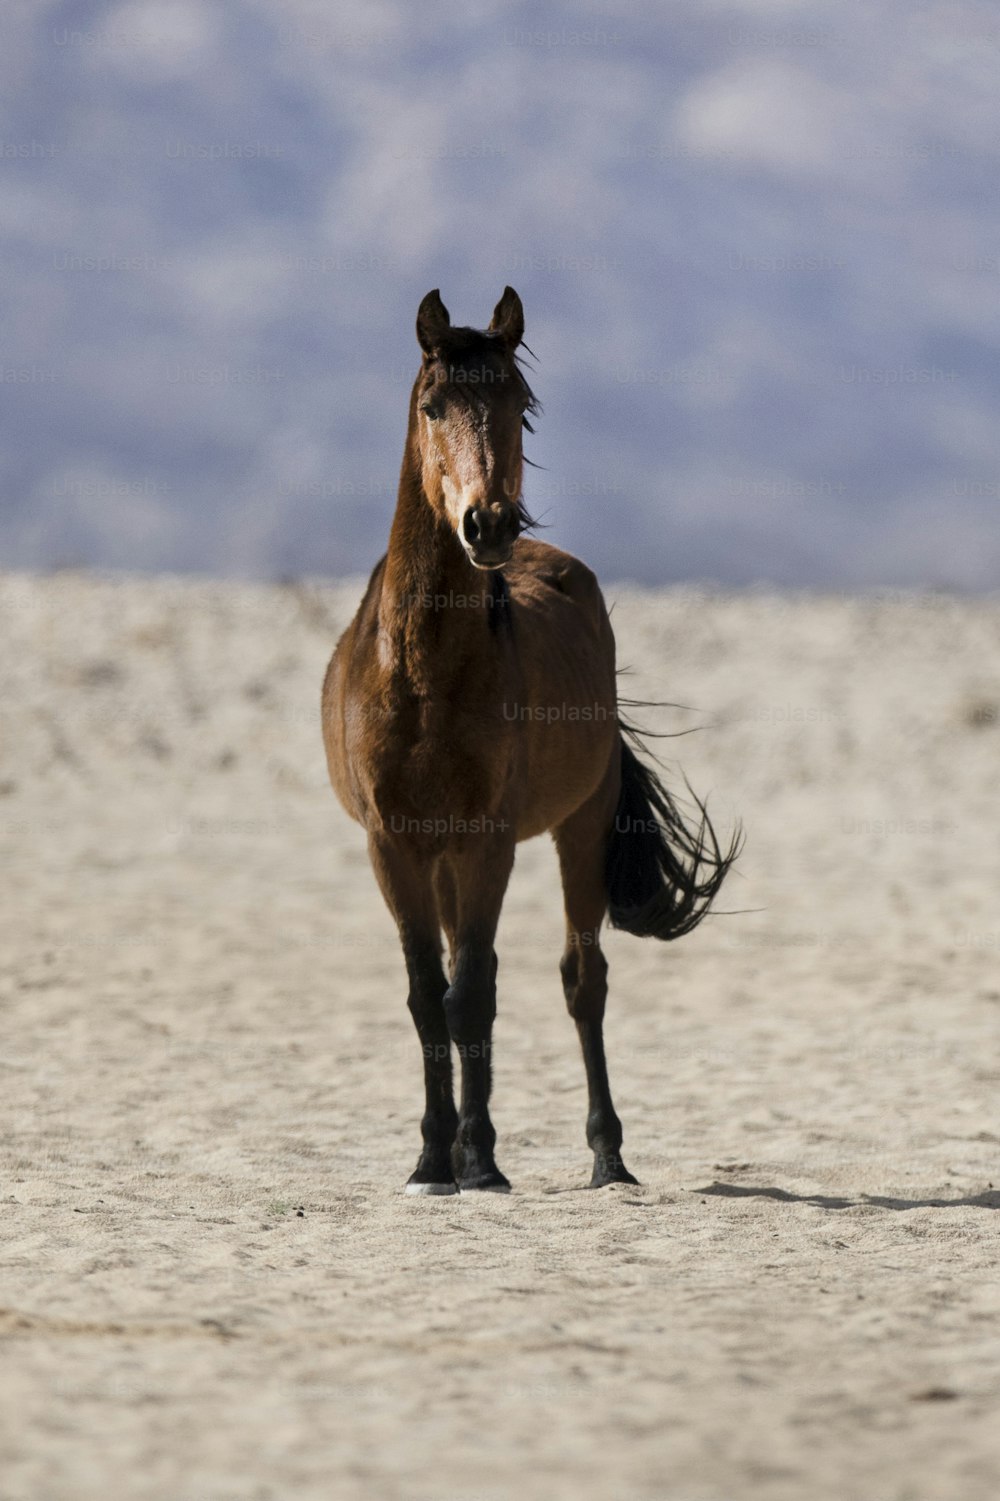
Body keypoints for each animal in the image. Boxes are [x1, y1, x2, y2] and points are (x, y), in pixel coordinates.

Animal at [322, 286, 735, 1188]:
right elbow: (427, 995)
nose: (488, 524)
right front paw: (432, 1158)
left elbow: (473, 991)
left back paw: (608, 1155)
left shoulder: (490, 839)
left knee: (583, 980)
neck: (423, 676)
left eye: (522, 405)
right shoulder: (393, 843)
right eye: (433, 404)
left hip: (578, 827)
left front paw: (478, 1161)